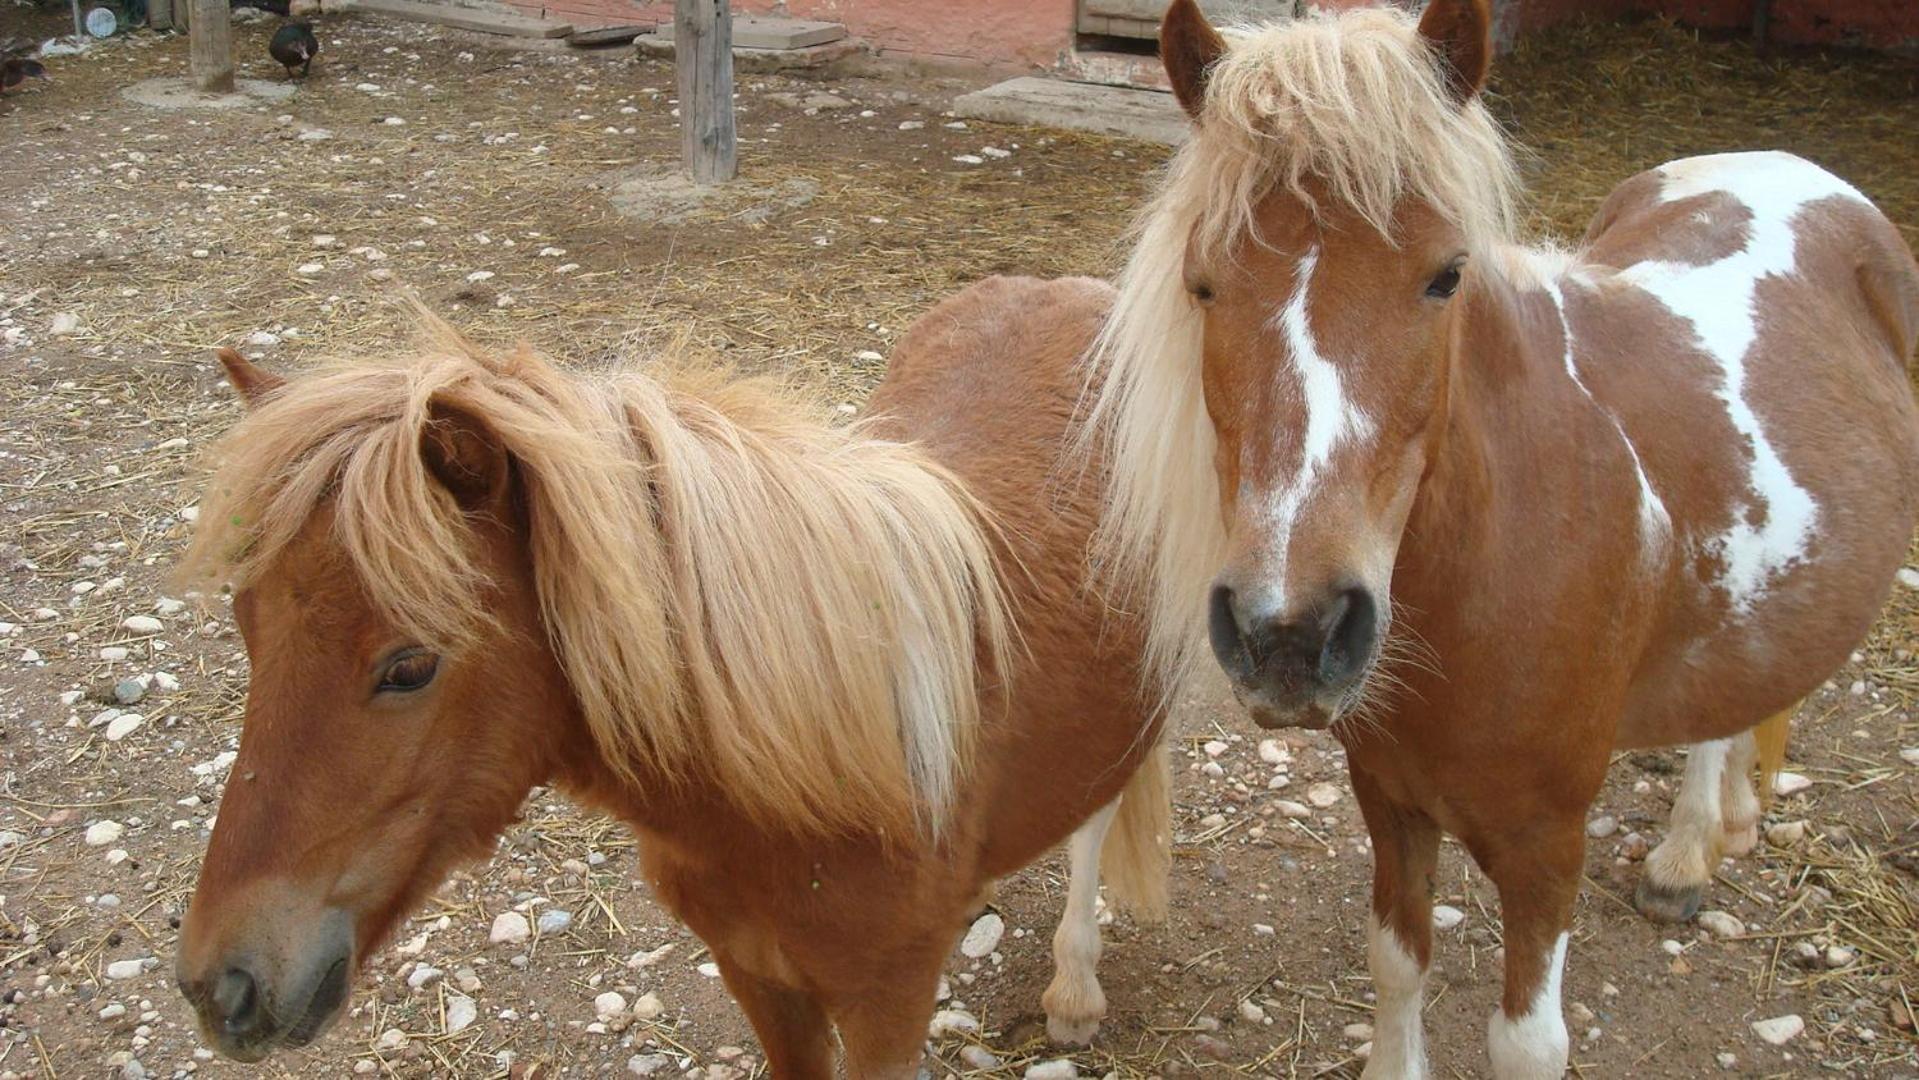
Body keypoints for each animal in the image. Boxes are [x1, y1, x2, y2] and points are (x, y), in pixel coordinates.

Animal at [176, 274, 1166, 1074]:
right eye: (247, 628)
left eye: (410, 666)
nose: (221, 987)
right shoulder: (758, 978)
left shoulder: (885, 1009)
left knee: (1098, 810)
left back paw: (1074, 989)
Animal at [1089, 2, 1919, 1080]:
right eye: (1201, 285)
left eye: (1446, 276)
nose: (1289, 633)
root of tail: (1789, 162)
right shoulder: (1390, 802)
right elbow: (1396, 962)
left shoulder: (1544, 842)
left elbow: (1525, 1041)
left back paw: (1688, 847)